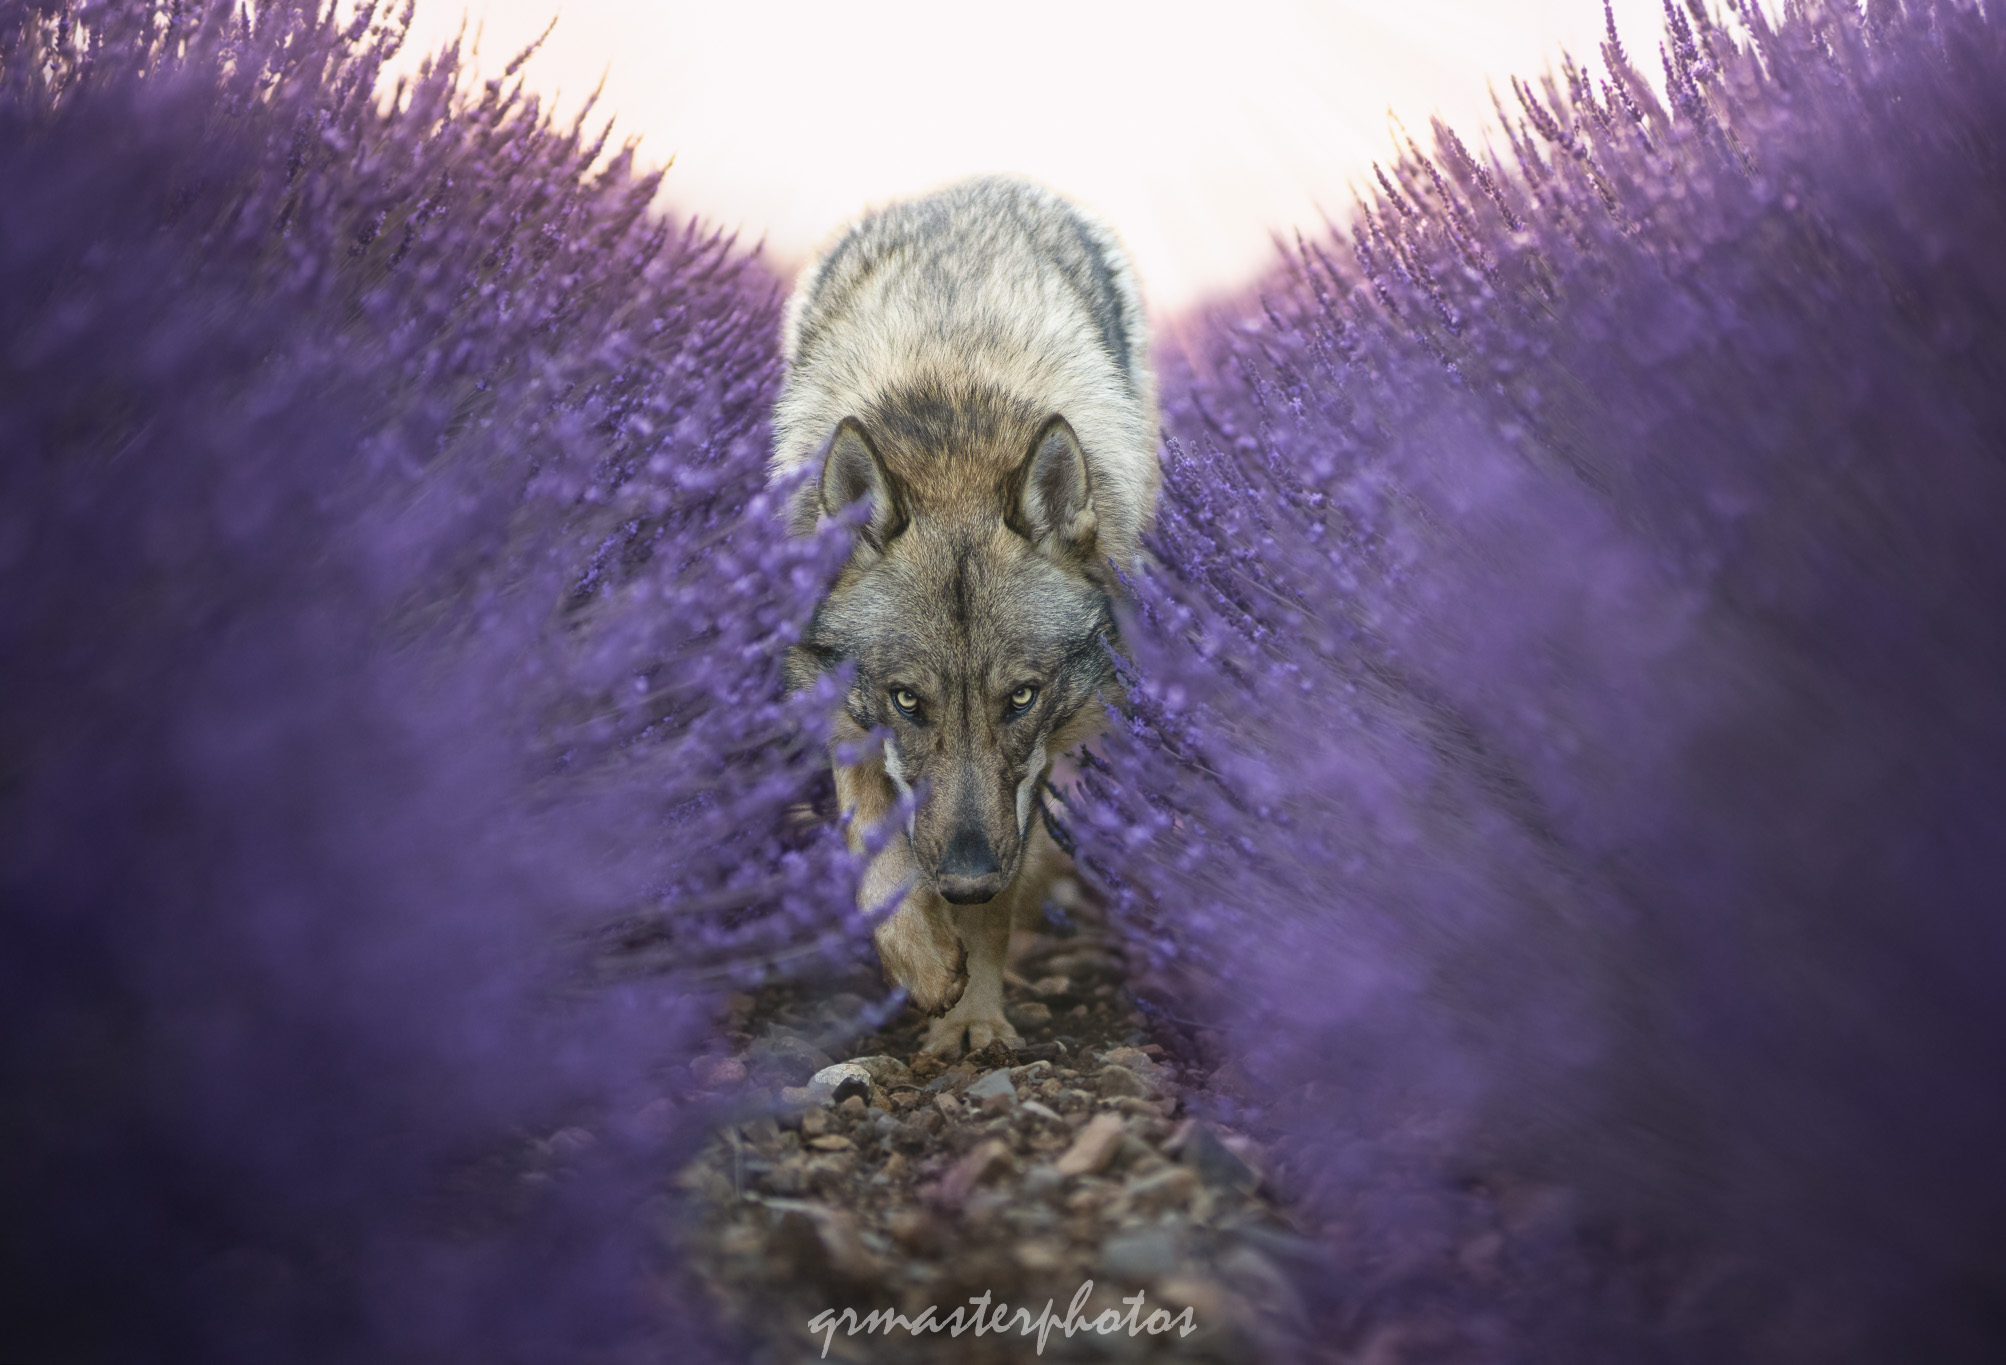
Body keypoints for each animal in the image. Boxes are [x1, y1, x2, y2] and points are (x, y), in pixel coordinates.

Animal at [771, 175, 1158, 1055]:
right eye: (909, 700)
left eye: (1019, 696)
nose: (969, 878)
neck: (953, 445)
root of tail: (980, 185)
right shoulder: (842, 710)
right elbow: (871, 841)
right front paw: (921, 963)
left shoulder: (1039, 752)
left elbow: (996, 910)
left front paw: (975, 1012)